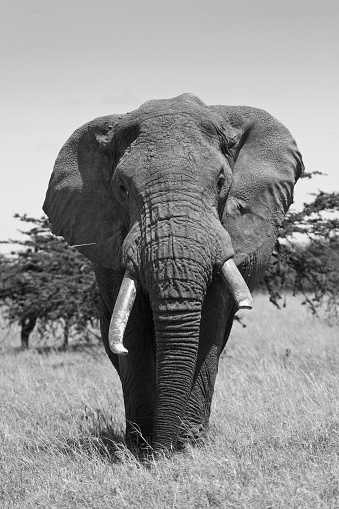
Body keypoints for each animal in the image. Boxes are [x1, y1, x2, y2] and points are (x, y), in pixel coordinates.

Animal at [43, 93, 306, 450]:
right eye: (122, 187)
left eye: (221, 182)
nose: (163, 451)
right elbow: (134, 330)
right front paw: (140, 445)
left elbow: (208, 322)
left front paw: (187, 443)